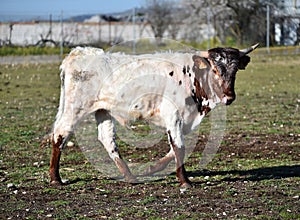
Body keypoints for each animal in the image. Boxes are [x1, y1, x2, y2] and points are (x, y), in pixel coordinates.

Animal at [49, 44, 258, 187]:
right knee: (60, 134)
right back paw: (55, 178)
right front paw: (185, 181)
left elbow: (174, 149)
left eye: (235, 71)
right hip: (75, 108)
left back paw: (130, 176)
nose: (229, 97)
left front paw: (153, 169)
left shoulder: (183, 121)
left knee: (107, 139)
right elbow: (179, 147)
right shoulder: (173, 115)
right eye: (214, 69)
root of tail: (79, 53)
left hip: (103, 111)